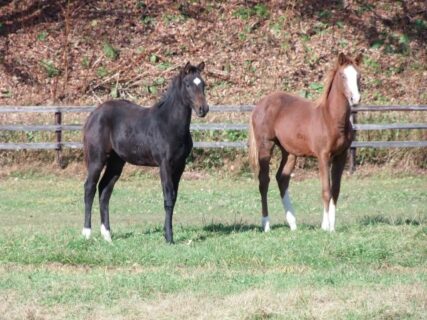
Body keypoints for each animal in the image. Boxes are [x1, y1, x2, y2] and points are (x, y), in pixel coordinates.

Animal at [82, 62, 209, 242]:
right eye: (188, 85)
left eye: (203, 84)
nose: (203, 109)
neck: (169, 124)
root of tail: (94, 114)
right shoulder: (165, 165)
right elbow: (168, 198)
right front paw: (169, 238)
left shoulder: (180, 166)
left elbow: (174, 198)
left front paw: (167, 234)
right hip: (96, 159)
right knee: (90, 188)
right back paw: (86, 233)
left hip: (116, 162)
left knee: (105, 190)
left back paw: (107, 235)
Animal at [249, 53, 362, 232]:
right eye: (343, 76)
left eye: (359, 76)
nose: (355, 98)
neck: (331, 118)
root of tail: (259, 105)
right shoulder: (323, 155)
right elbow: (326, 190)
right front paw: (326, 227)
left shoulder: (341, 156)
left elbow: (335, 190)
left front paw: (332, 226)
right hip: (265, 145)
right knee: (264, 181)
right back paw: (266, 225)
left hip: (289, 152)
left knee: (282, 178)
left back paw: (293, 223)